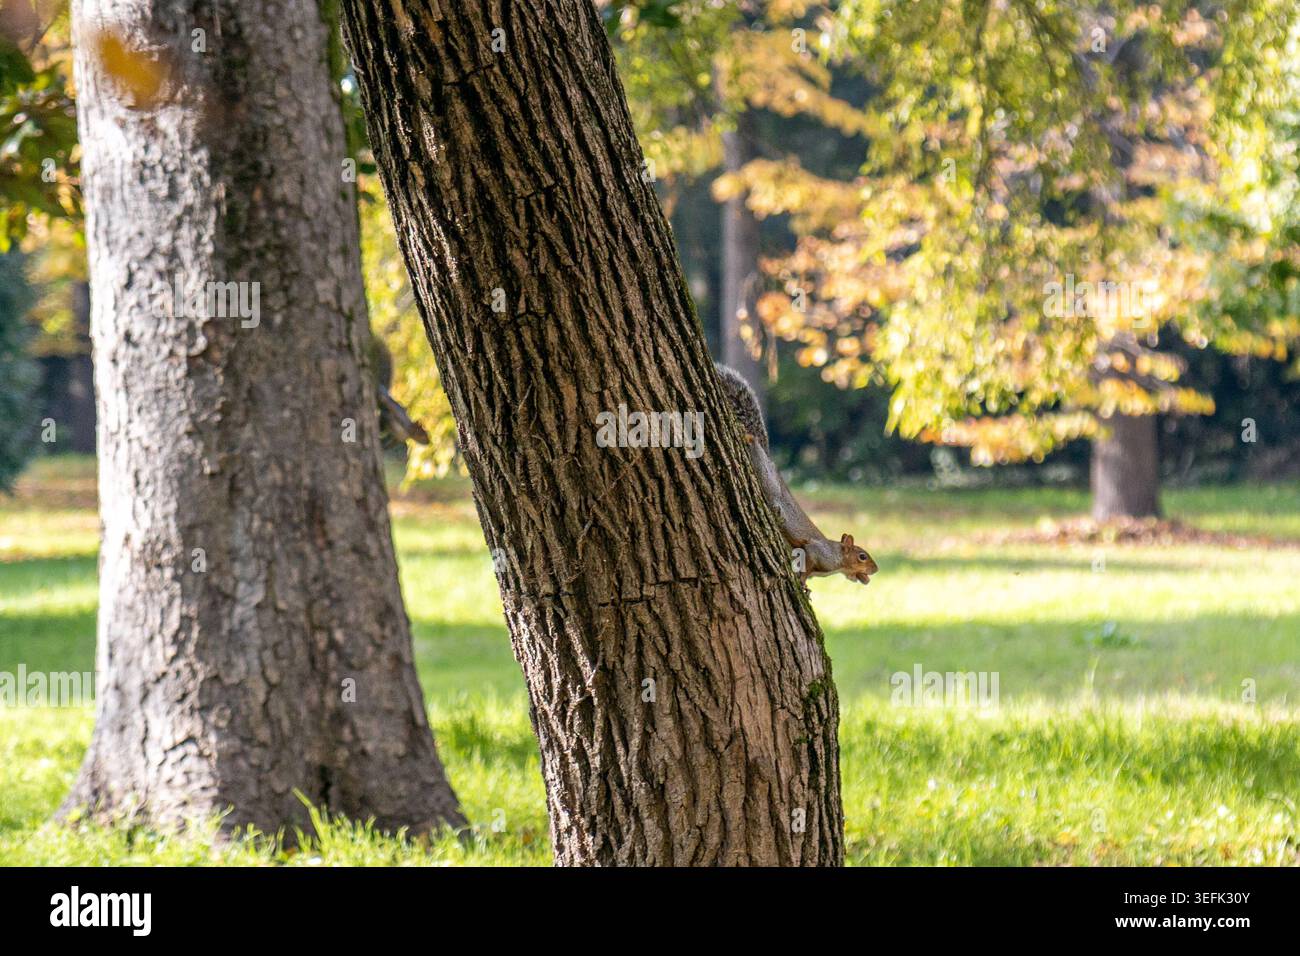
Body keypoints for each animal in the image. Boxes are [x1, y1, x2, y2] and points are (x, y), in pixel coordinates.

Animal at [716, 363, 879, 587]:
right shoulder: (815, 551)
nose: (876, 569)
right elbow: (807, 561)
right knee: (755, 450)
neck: (836, 558)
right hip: (767, 479)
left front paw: (806, 587)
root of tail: (769, 460)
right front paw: (801, 580)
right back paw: (748, 438)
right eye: (862, 556)